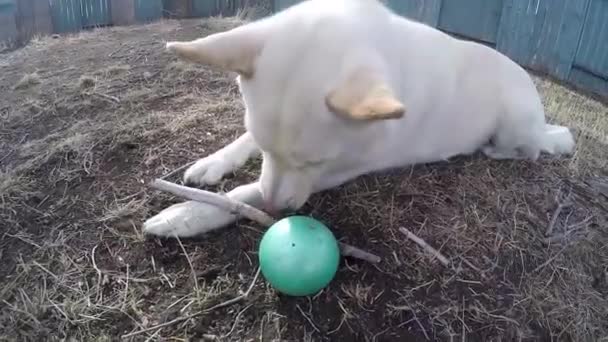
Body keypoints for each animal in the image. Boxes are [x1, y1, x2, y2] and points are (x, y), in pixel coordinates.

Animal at [142, 0, 576, 238]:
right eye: (266, 149)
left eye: (315, 162)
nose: (275, 209)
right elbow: (242, 142)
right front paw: (214, 163)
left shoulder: (332, 174)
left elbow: (242, 193)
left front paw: (189, 214)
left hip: (514, 125)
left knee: (532, 150)